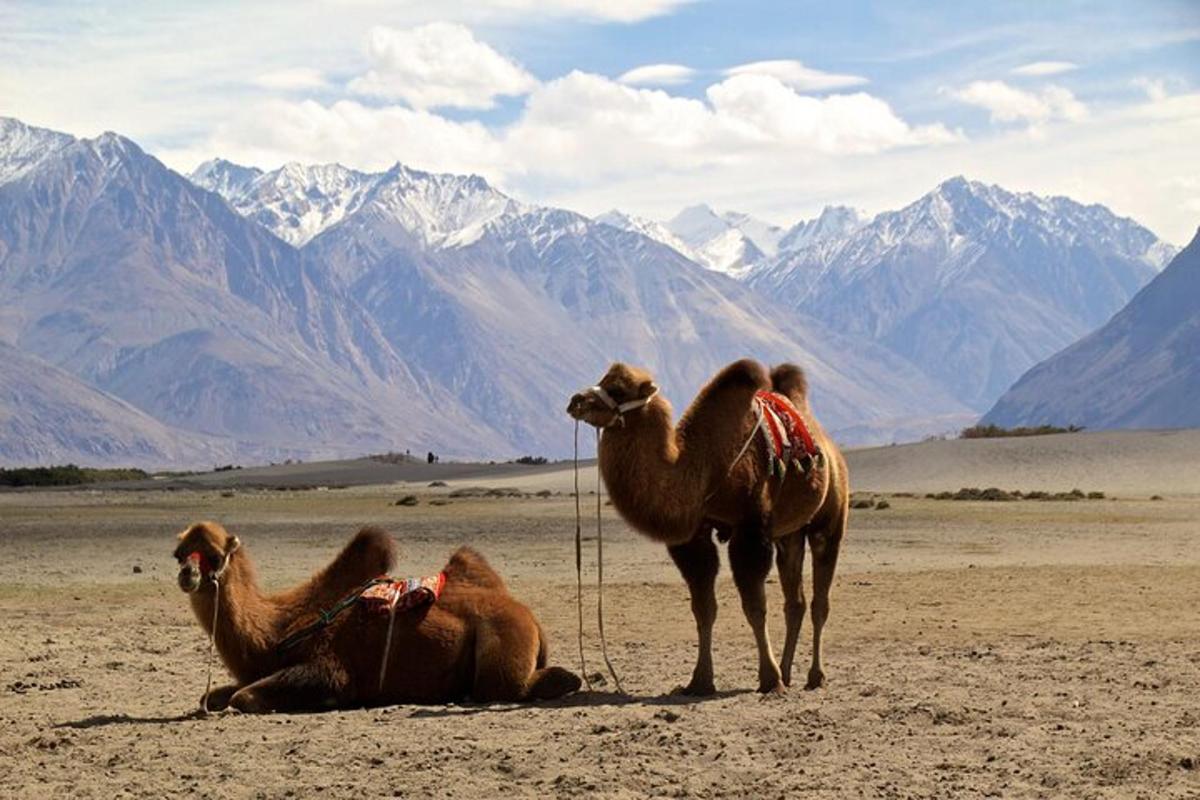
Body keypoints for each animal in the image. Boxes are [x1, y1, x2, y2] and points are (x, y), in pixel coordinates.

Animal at [566, 362, 849, 695]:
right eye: (603, 379)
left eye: (618, 389)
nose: (575, 401)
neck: (702, 465)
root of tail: (829, 448)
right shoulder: (694, 535)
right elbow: (703, 608)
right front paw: (699, 680)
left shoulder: (750, 528)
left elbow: (754, 606)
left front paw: (769, 678)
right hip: (789, 535)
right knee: (796, 603)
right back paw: (789, 672)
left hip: (829, 521)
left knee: (820, 601)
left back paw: (815, 676)